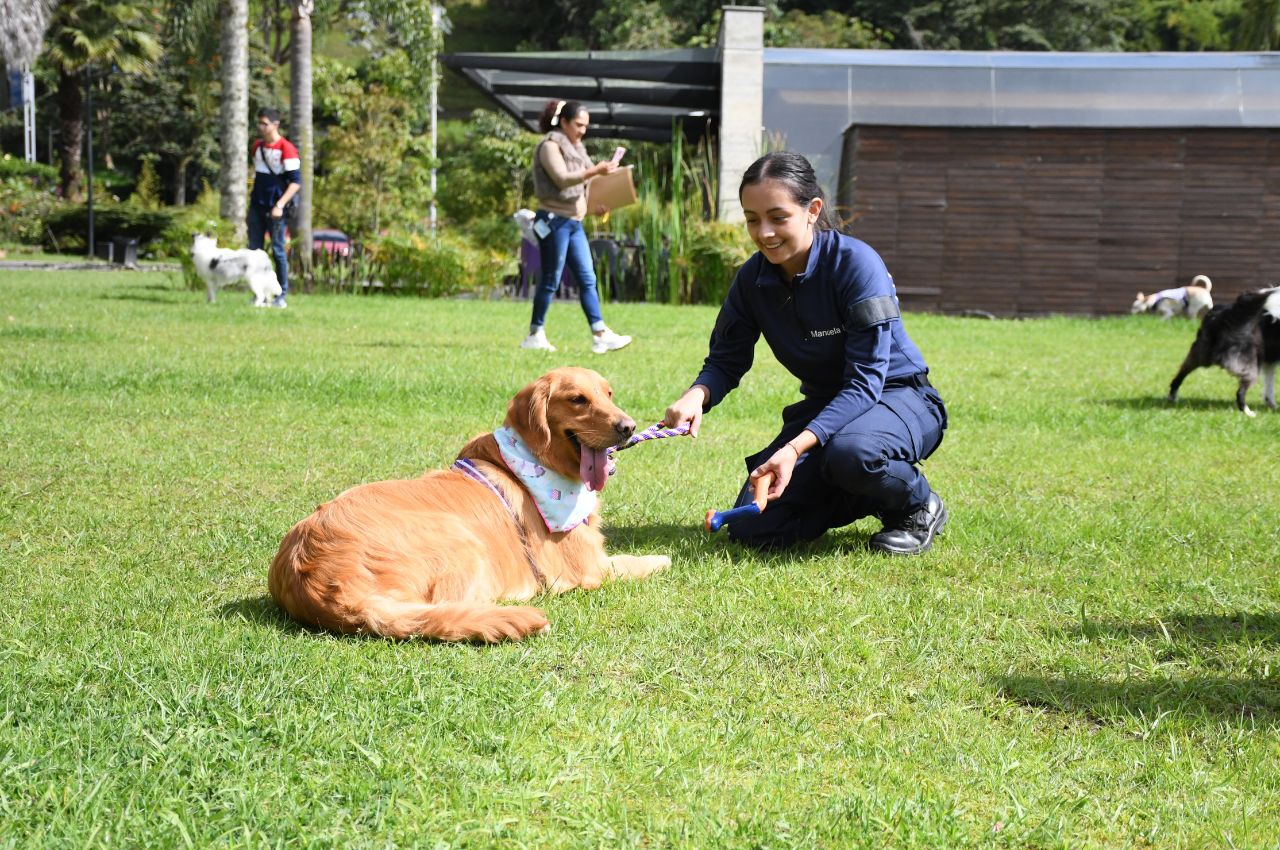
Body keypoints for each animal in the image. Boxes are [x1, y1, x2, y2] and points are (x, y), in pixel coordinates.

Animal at [1172, 286, 1280, 417]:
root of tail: (1228, 313)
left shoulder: (1270, 361)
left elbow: (1269, 386)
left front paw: (1271, 404)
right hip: (1251, 362)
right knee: (1240, 392)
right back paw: (1248, 412)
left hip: (1201, 353)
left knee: (1182, 372)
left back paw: (1172, 396)